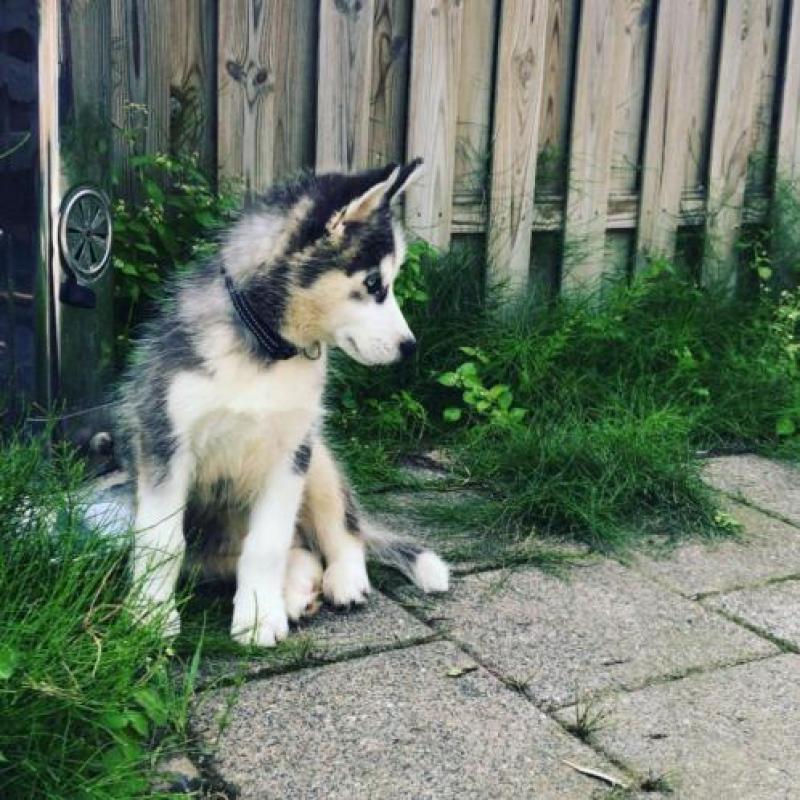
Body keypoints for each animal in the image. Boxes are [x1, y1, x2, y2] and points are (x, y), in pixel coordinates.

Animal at [115, 159, 450, 648]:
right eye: (373, 284)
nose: (410, 348)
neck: (267, 355)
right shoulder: (163, 442)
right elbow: (163, 539)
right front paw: (152, 616)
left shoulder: (292, 454)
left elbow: (267, 543)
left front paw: (257, 616)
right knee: (286, 552)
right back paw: (296, 589)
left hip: (321, 460)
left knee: (342, 530)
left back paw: (343, 579)